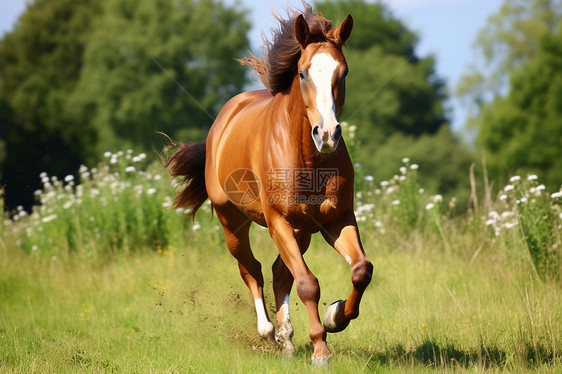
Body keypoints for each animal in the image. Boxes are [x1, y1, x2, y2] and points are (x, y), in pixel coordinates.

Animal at [166, 3, 372, 366]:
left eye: (343, 72)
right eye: (302, 73)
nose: (327, 134)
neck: (308, 159)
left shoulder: (337, 218)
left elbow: (361, 269)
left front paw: (335, 316)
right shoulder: (278, 221)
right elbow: (307, 283)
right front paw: (321, 350)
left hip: (301, 231)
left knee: (279, 272)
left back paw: (286, 338)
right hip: (233, 222)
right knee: (252, 269)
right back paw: (268, 333)